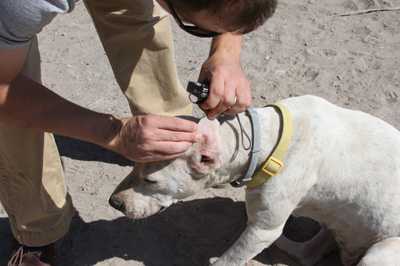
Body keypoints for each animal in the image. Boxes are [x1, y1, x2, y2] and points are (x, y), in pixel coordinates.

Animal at [109, 96, 400, 266]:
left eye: (151, 180)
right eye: (133, 163)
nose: (114, 203)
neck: (265, 139)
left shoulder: (263, 229)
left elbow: (230, 259)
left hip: (380, 253)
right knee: (307, 252)